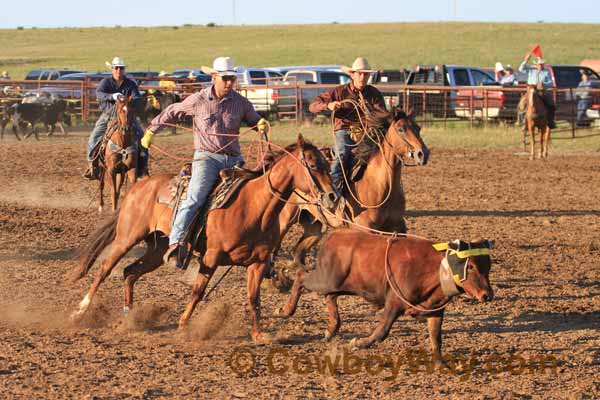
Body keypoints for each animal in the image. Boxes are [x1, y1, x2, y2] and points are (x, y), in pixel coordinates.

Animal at [71, 135, 338, 344]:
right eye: (313, 164)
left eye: (327, 163)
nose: (332, 196)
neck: (253, 207)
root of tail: (139, 187)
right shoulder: (211, 257)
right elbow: (198, 292)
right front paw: (182, 326)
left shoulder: (258, 263)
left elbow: (254, 299)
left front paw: (259, 335)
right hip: (127, 237)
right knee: (105, 269)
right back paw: (80, 311)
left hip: (157, 249)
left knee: (129, 272)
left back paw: (129, 317)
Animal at [274, 107, 428, 310]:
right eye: (401, 129)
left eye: (418, 127)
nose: (422, 154)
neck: (377, 183)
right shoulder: (366, 229)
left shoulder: (398, 227)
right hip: (284, 220)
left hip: (314, 227)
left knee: (298, 251)